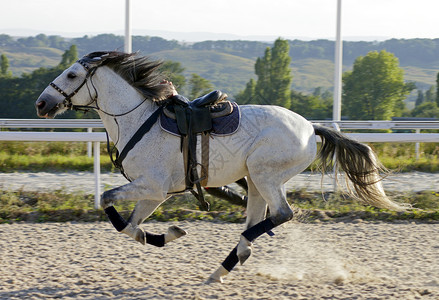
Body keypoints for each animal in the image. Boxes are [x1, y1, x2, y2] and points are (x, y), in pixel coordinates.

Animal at [35, 50, 406, 282]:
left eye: (71, 74)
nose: (42, 103)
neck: (138, 120)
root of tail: (310, 128)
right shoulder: (154, 193)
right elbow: (129, 226)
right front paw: (164, 235)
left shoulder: (151, 186)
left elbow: (108, 201)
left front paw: (164, 234)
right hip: (255, 182)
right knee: (257, 217)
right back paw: (225, 267)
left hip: (265, 175)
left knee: (281, 214)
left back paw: (237, 254)